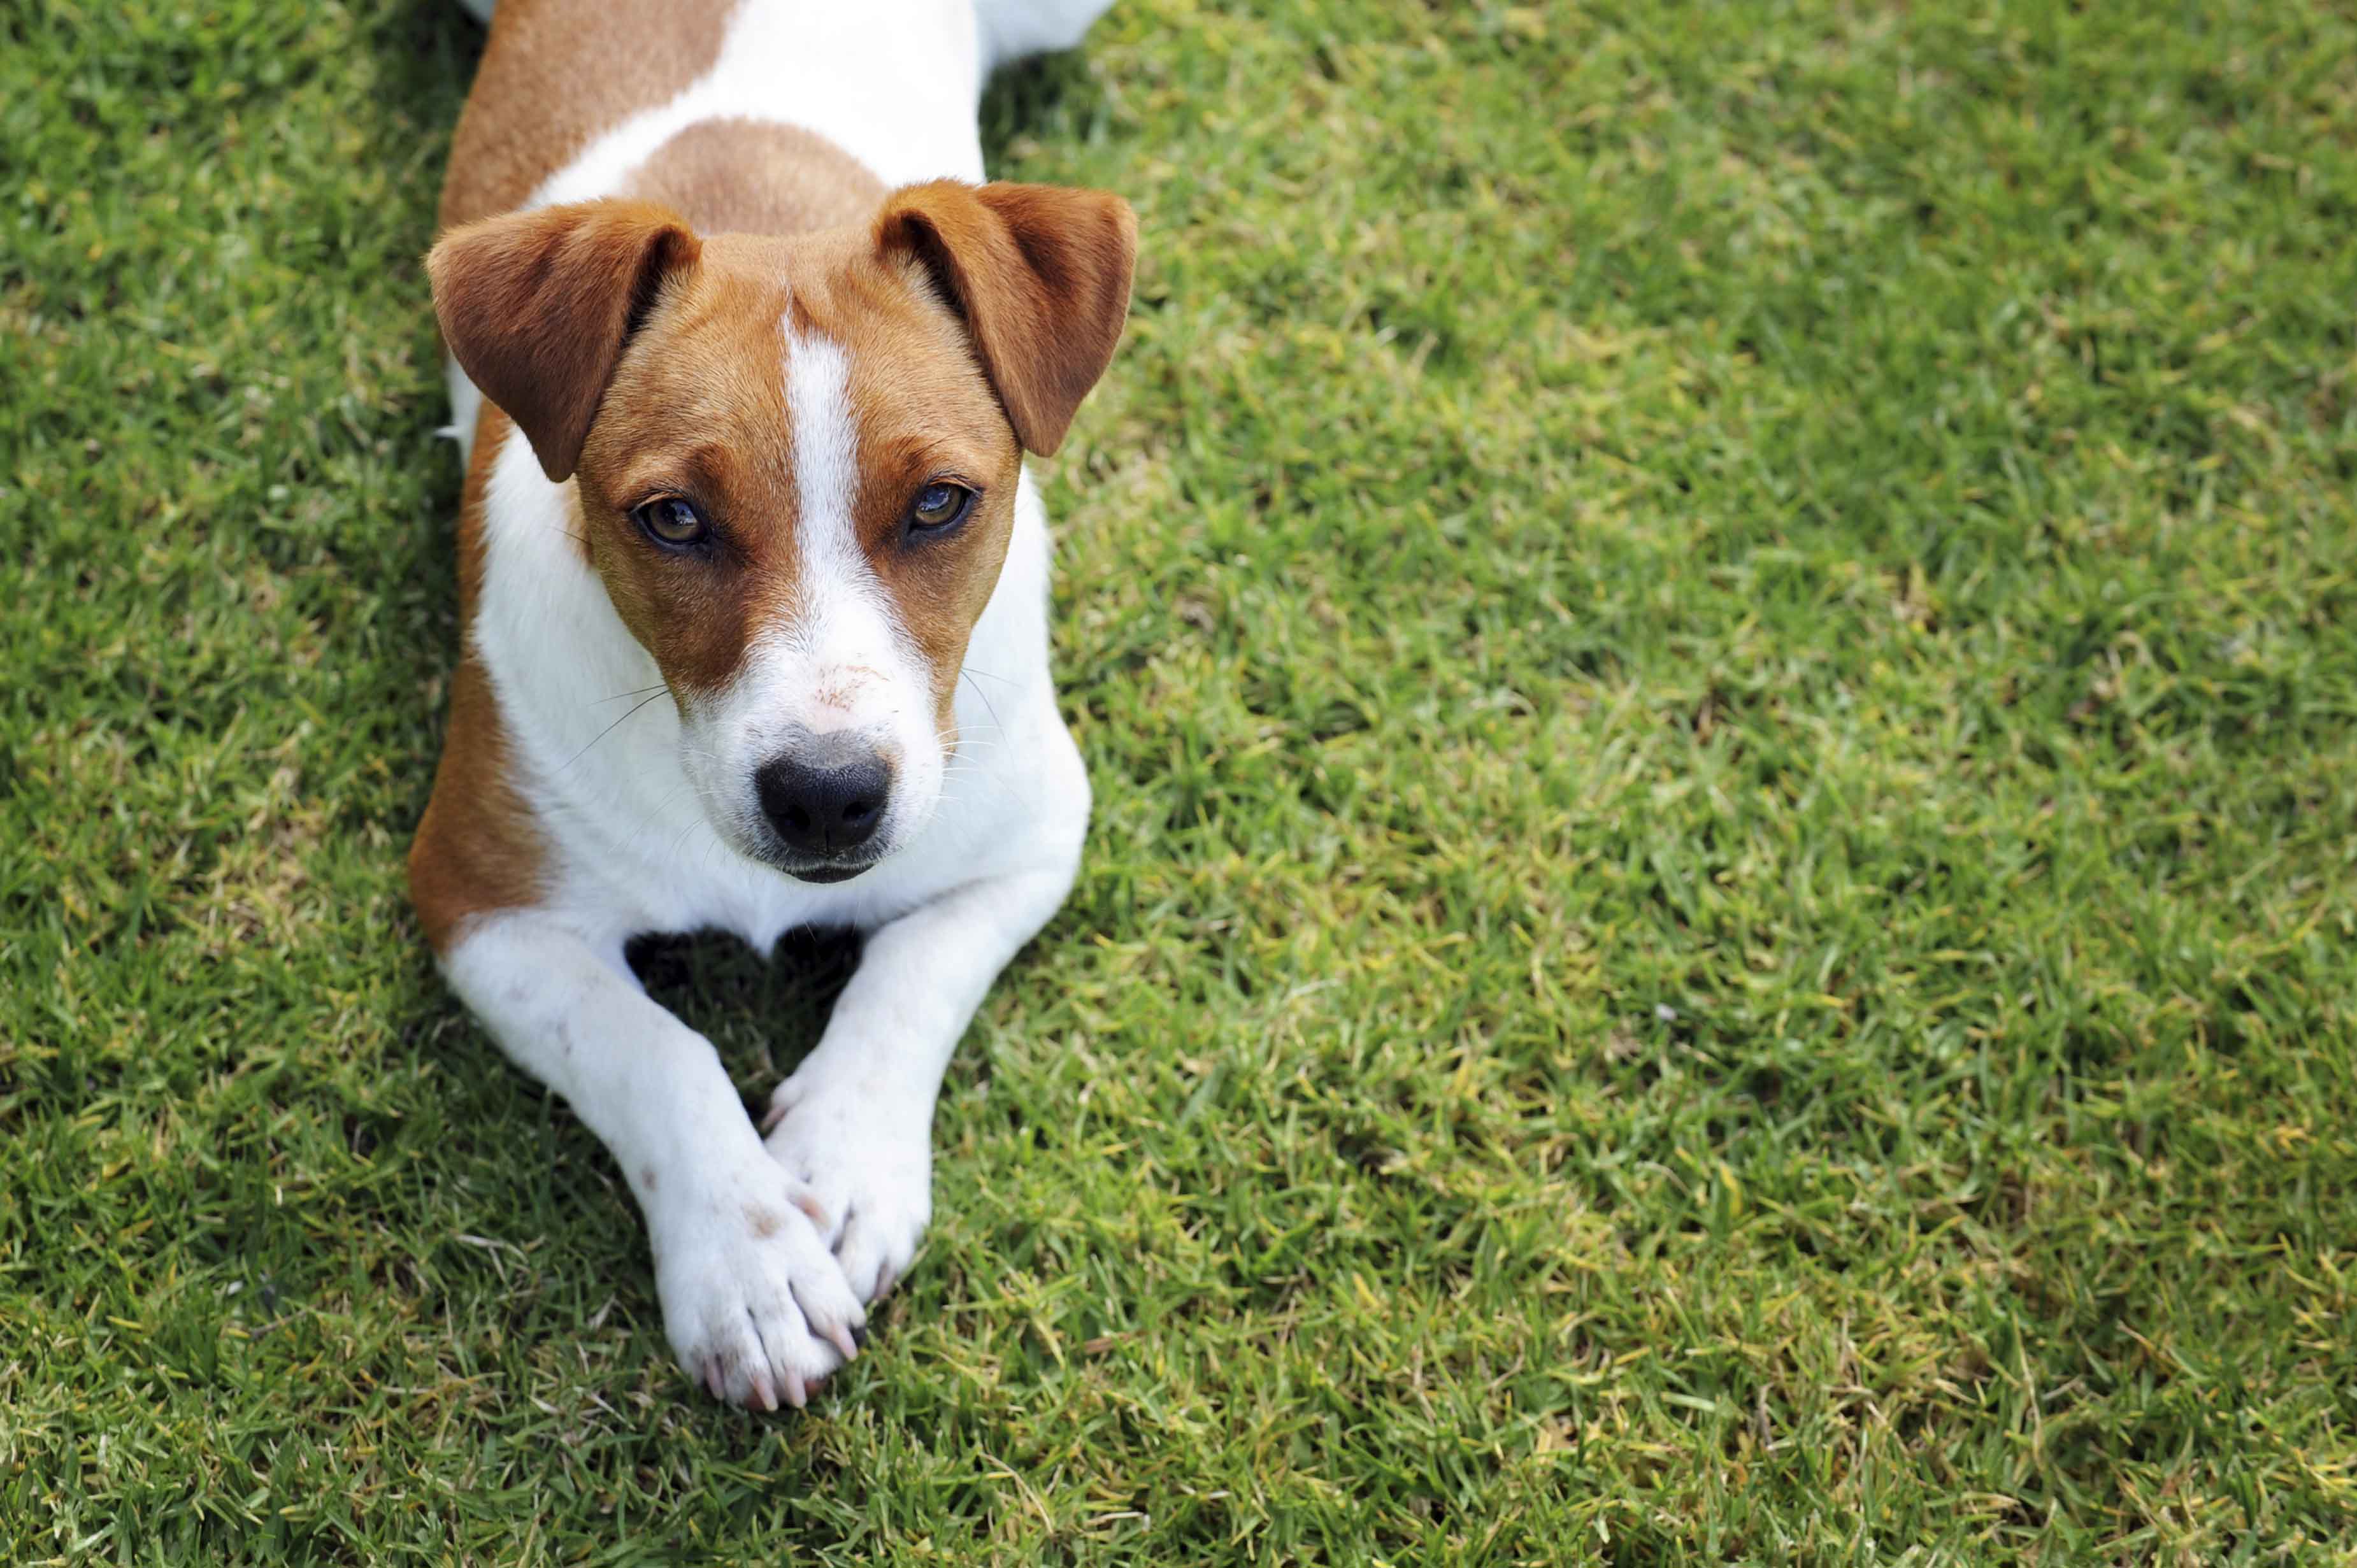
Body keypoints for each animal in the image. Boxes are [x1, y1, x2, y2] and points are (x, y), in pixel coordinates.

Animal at [410, 0, 1136, 1415]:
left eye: (939, 504)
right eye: (674, 519)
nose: (828, 798)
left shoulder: (1031, 841)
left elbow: (910, 977)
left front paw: (846, 1167)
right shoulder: (481, 903)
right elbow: (648, 1049)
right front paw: (745, 1260)